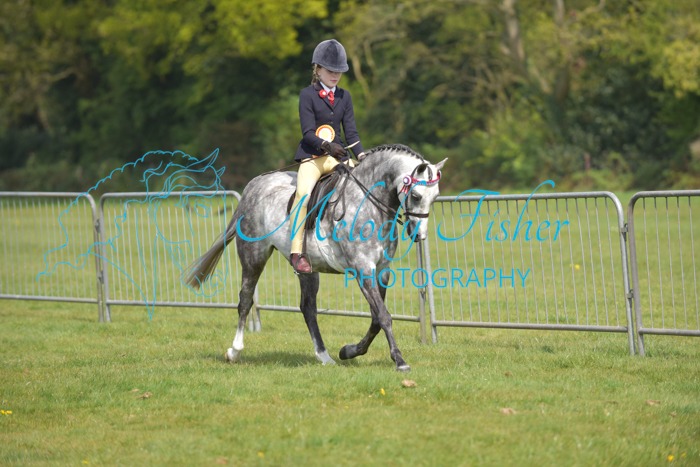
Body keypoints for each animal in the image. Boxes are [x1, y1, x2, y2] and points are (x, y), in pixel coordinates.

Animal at [184, 144, 446, 371]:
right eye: (416, 195)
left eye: (435, 197)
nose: (419, 235)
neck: (368, 205)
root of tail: (254, 185)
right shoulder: (362, 268)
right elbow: (383, 316)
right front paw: (399, 361)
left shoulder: (382, 270)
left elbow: (375, 319)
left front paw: (349, 351)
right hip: (253, 255)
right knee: (246, 300)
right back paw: (234, 351)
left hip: (306, 267)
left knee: (307, 307)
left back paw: (324, 356)